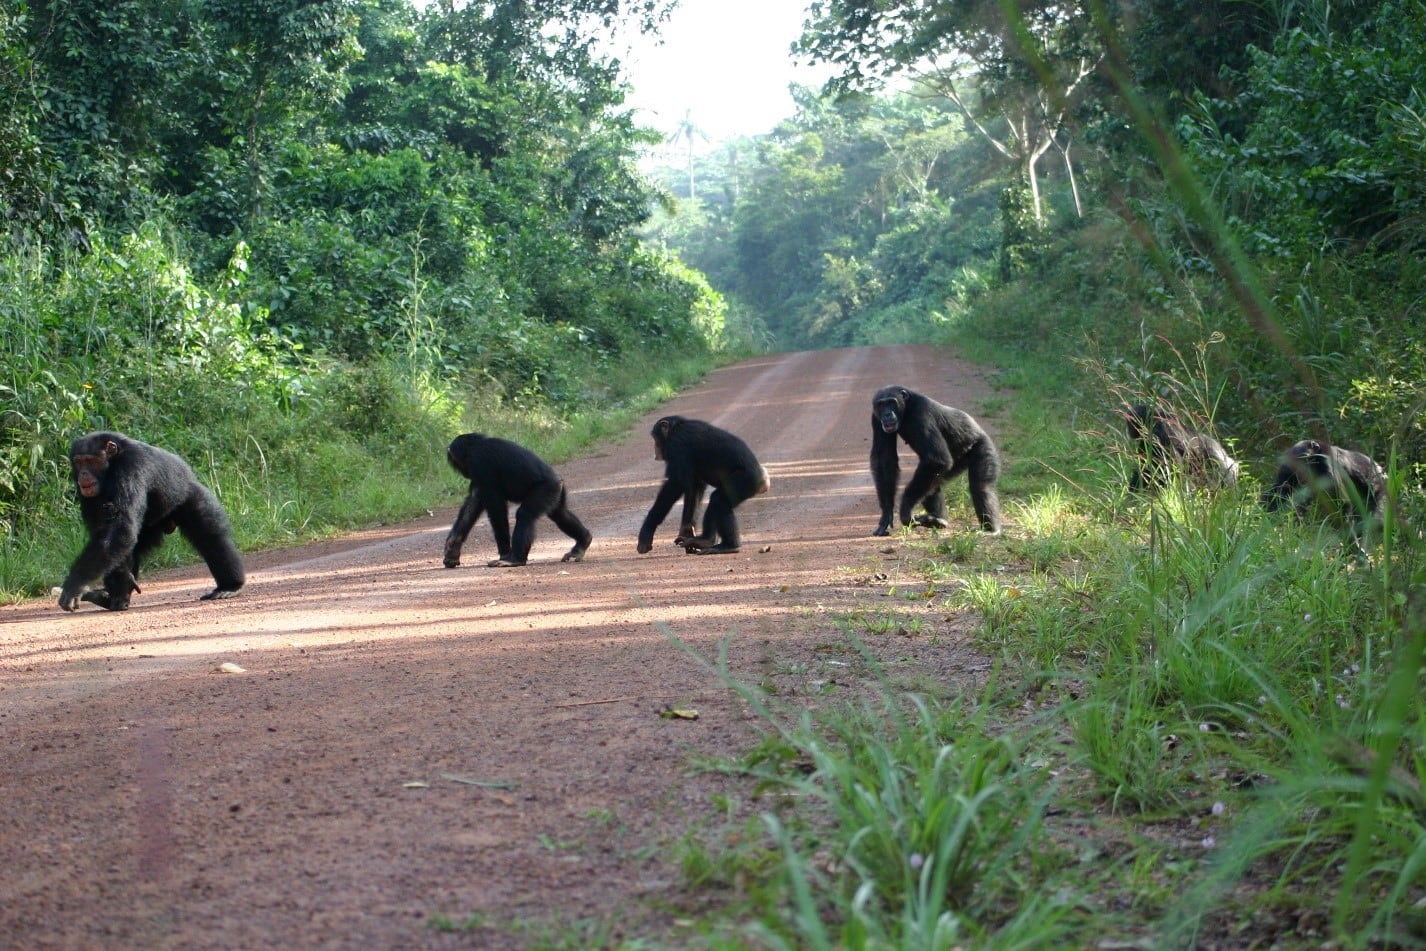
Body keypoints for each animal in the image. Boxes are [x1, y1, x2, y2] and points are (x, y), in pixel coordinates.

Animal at [58, 430, 246, 610]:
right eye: (79, 462)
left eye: (91, 461)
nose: (83, 473)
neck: (111, 465)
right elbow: (107, 532)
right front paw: (119, 582)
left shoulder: (130, 467)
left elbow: (119, 529)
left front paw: (74, 585)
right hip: (150, 528)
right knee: (129, 545)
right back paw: (114, 595)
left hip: (190, 496)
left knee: (210, 538)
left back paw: (229, 586)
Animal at [436, 433, 587, 570]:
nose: (464, 473)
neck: (475, 446)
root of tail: (558, 481)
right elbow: (474, 501)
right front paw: (453, 547)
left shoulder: (480, 465)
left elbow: (496, 507)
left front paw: (504, 554)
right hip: (555, 494)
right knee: (561, 515)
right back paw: (582, 543)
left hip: (546, 490)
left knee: (525, 515)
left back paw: (515, 560)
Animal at [635, 416, 770, 558]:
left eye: (655, 439)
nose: (655, 449)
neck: (675, 429)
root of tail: (764, 481)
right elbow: (695, 486)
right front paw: (686, 531)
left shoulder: (677, 445)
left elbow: (676, 484)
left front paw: (646, 532)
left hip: (744, 482)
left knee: (719, 500)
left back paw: (724, 544)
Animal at [867, 384, 1003, 536]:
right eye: (881, 405)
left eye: (891, 403)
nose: (887, 414)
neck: (906, 410)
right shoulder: (875, 419)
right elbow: (884, 459)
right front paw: (886, 513)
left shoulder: (921, 415)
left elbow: (937, 459)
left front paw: (905, 509)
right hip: (954, 465)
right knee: (932, 484)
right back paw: (937, 520)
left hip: (983, 447)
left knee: (981, 487)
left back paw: (990, 530)